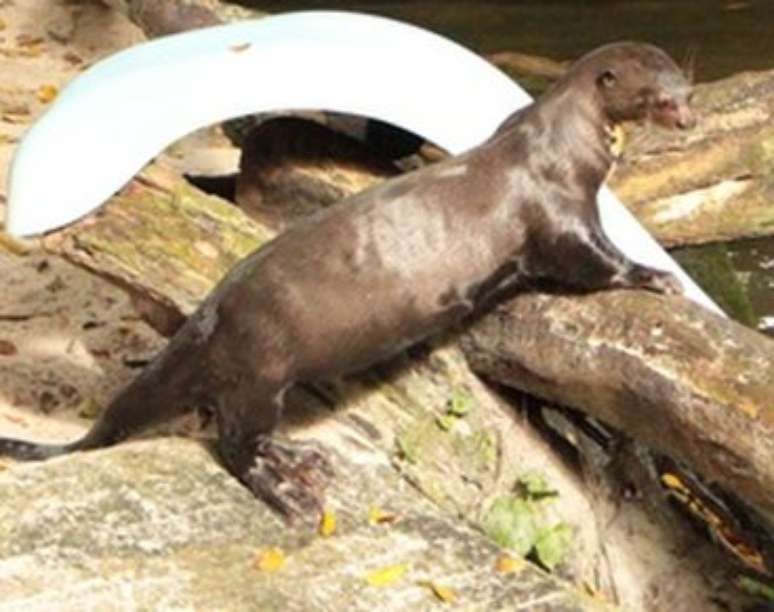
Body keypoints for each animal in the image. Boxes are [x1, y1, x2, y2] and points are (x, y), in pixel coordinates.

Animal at [0, 43, 696, 520]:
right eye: (665, 98)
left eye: (688, 91)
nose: (688, 120)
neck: (564, 144)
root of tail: (210, 314)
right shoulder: (558, 212)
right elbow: (594, 264)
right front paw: (656, 276)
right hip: (261, 367)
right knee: (233, 441)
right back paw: (290, 483)